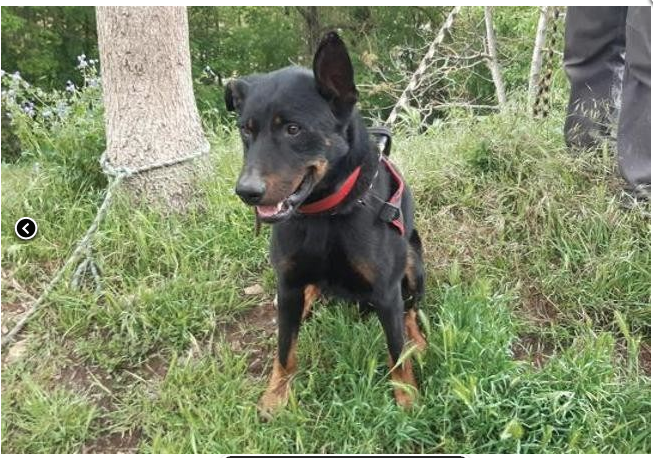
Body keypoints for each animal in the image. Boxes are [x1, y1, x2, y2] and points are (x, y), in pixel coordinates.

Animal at [225, 32, 428, 418]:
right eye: (246, 131)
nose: (247, 192)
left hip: (413, 260)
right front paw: (276, 395)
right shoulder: (288, 281)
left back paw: (418, 339)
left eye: (293, 129)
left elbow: (395, 350)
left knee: (411, 309)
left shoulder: (386, 291)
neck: (324, 215)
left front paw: (407, 397)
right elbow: (284, 349)